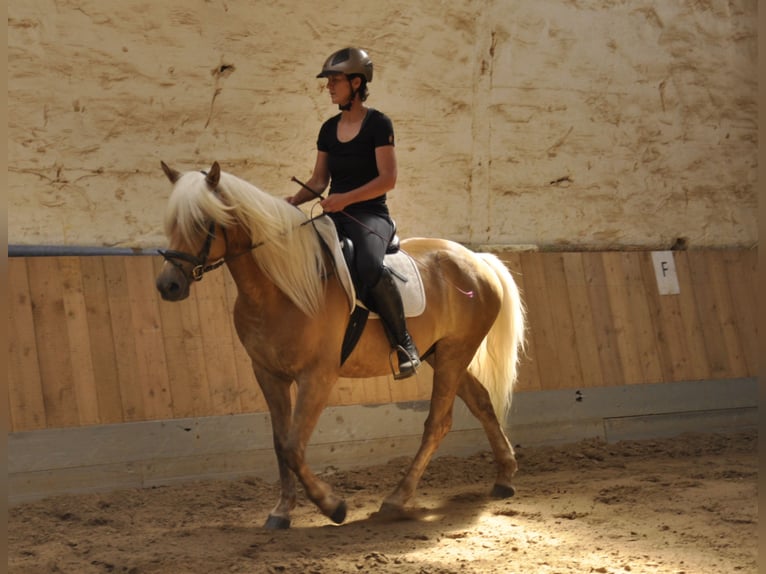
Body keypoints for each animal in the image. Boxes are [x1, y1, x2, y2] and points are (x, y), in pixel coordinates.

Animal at [156, 161, 528, 532]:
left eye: (202, 222)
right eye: (170, 223)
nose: (167, 286)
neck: (279, 288)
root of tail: (476, 259)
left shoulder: (317, 376)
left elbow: (293, 445)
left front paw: (332, 505)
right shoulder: (268, 373)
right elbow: (280, 443)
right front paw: (282, 511)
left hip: (454, 353)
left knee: (438, 422)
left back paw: (397, 499)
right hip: (442, 354)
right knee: (481, 402)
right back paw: (504, 477)